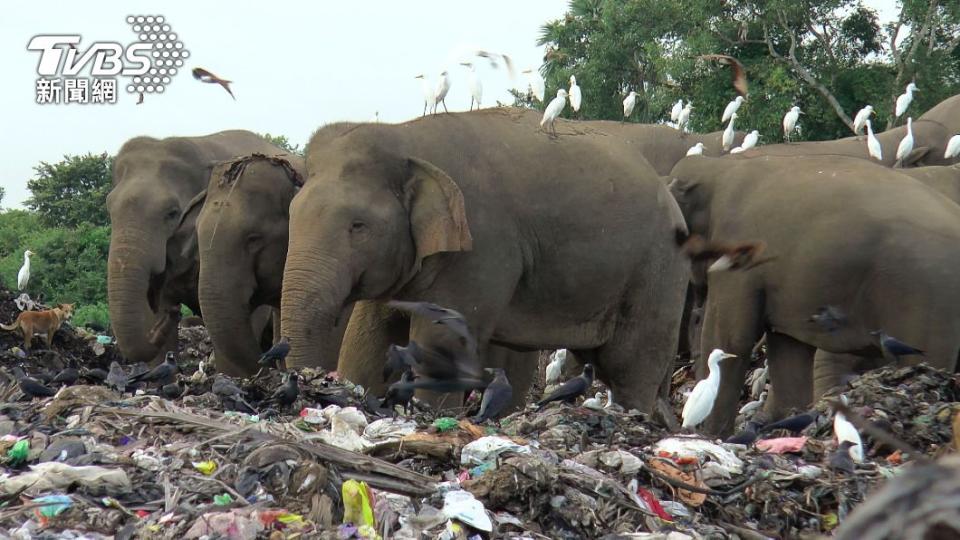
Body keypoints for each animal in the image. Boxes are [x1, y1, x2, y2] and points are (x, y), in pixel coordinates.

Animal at [278, 106, 688, 414]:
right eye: (292, 213)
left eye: (358, 226)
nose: (305, 385)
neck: (406, 137)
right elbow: (370, 338)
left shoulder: (480, 247)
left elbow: (442, 339)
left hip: (659, 271)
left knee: (630, 365)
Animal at [672, 154, 960, 436]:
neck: (716, 166)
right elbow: (787, 350)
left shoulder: (738, 258)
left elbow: (731, 339)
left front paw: (712, 436)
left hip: (926, 294)